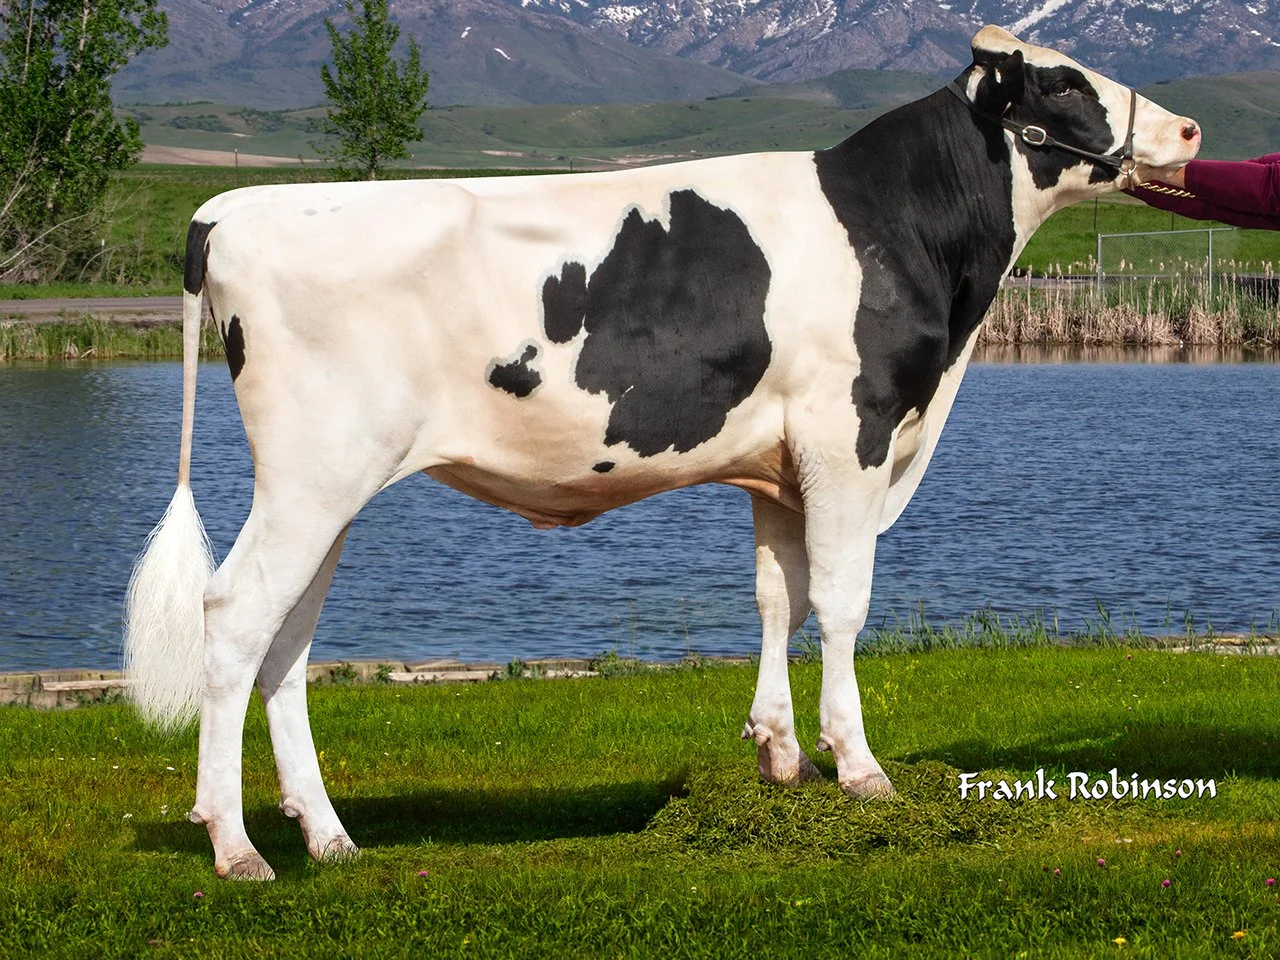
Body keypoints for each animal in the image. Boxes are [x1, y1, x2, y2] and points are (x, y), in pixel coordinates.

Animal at [124, 25, 1201, 879]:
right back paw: (236, 845)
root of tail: (229, 210)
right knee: (235, 616)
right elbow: (842, 601)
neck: (901, 231)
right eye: (1064, 82)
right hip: (312, 474)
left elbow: (777, 595)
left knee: (288, 636)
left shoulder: (779, 461)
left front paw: (778, 757)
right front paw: (858, 769)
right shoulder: (847, 431)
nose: (1189, 131)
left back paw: (327, 835)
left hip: (329, 485)